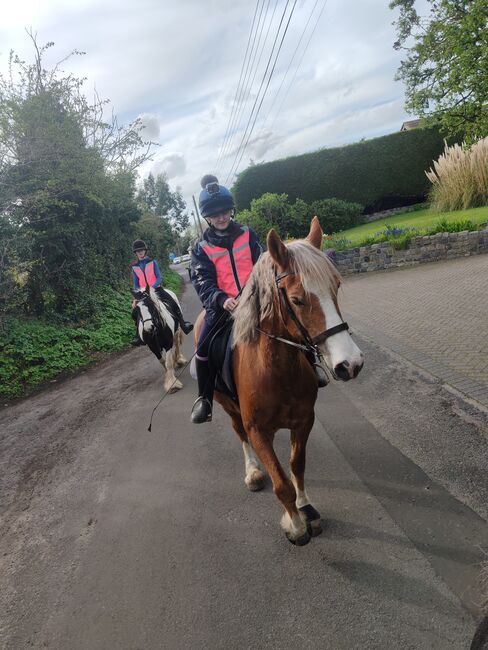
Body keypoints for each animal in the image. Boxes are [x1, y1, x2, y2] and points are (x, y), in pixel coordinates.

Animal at [194, 216, 362, 540]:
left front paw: (305, 507)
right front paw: (295, 525)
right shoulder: (258, 430)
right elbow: (281, 483)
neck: (276, 371)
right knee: (240, 434)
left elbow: (296, 466)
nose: (351, 364)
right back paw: (253, 472)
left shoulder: (304, 420)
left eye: (335, 287)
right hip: (228, 408)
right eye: (297, 300)